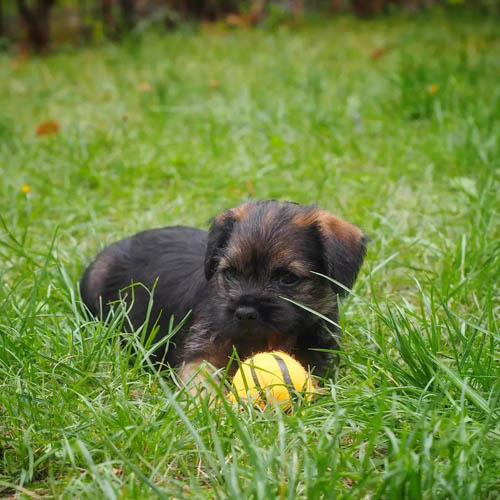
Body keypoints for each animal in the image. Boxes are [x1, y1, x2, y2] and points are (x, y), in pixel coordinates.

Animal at [80, 199, 366, 382]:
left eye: (287, 278)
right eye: (230, 273)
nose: (245, 311)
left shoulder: (320, 359)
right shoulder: (201, 353)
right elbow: (202, 380)